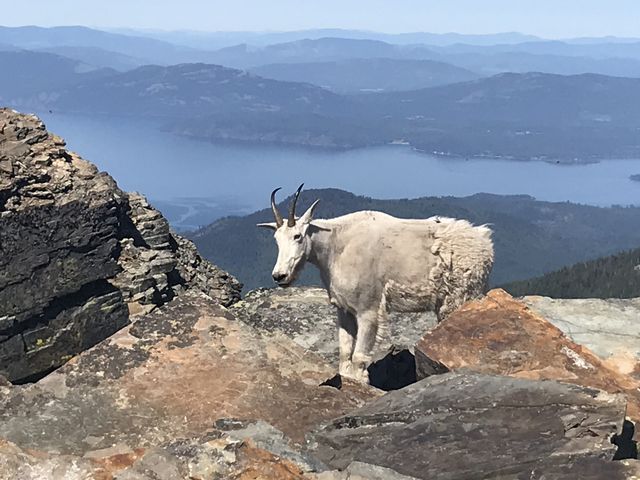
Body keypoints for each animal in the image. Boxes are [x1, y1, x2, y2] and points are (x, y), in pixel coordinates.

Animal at [258, 185, 494, 383]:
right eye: (276, 239)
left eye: (297, 236)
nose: (279, 276)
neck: (335, 247)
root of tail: (485, 242)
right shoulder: (344, 309)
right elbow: (345, 352)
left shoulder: (368, 309)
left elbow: (359, 356)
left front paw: (362, 382)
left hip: (460, 297)